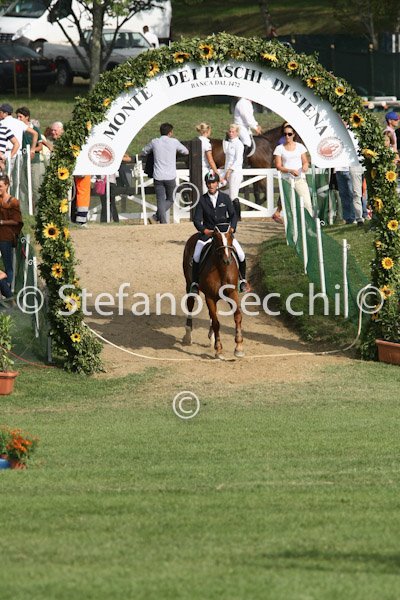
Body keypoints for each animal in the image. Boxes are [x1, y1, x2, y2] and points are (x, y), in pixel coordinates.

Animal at [182, 225, 244, 359]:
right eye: (216, 237)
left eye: (231, 235)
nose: (227, 260)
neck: (221, 268)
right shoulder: (210, 296)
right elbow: (216, 323)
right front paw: (219, 350)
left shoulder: (232, 293)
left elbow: (237, 316)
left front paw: (239, 347)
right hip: (190, 285)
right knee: (190, 304)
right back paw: (188, 336)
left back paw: (211, 337)